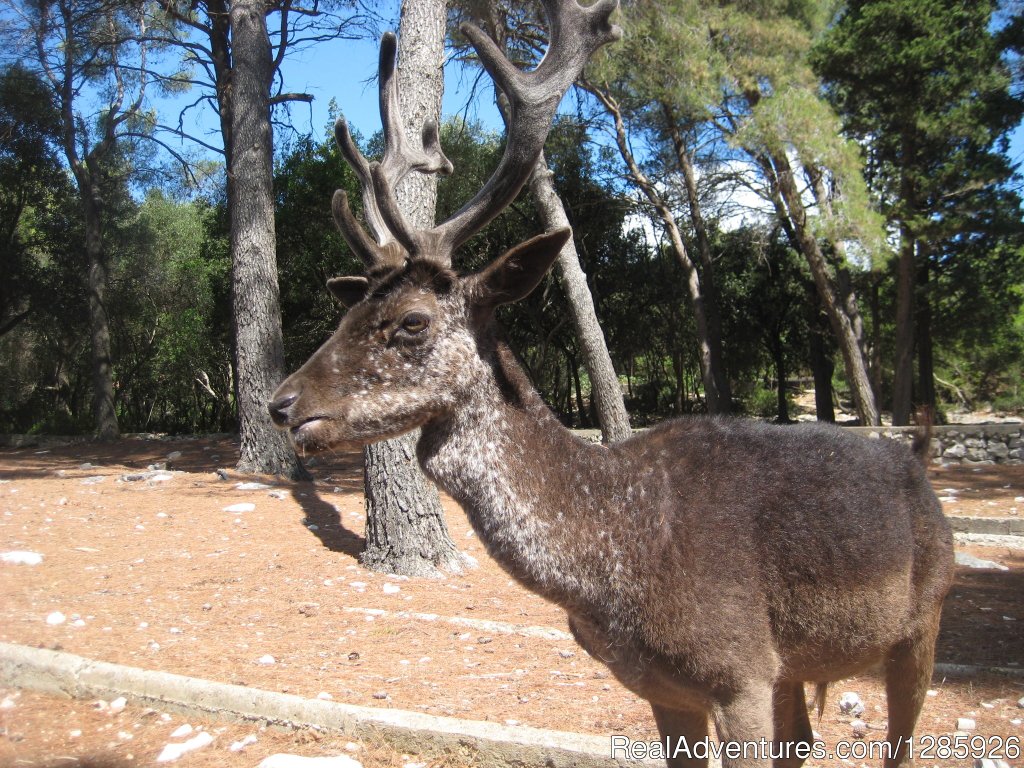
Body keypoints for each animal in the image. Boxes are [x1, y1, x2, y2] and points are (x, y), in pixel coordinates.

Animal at [268, 3, 954, 765]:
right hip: (799, 667)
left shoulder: (739, 669)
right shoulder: (670, 687)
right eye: (346, 312)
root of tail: (919, 459)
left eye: (412, 322)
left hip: (922, 623)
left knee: (900, 739)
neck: (615, 568)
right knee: (804, 740)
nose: (282, 403)